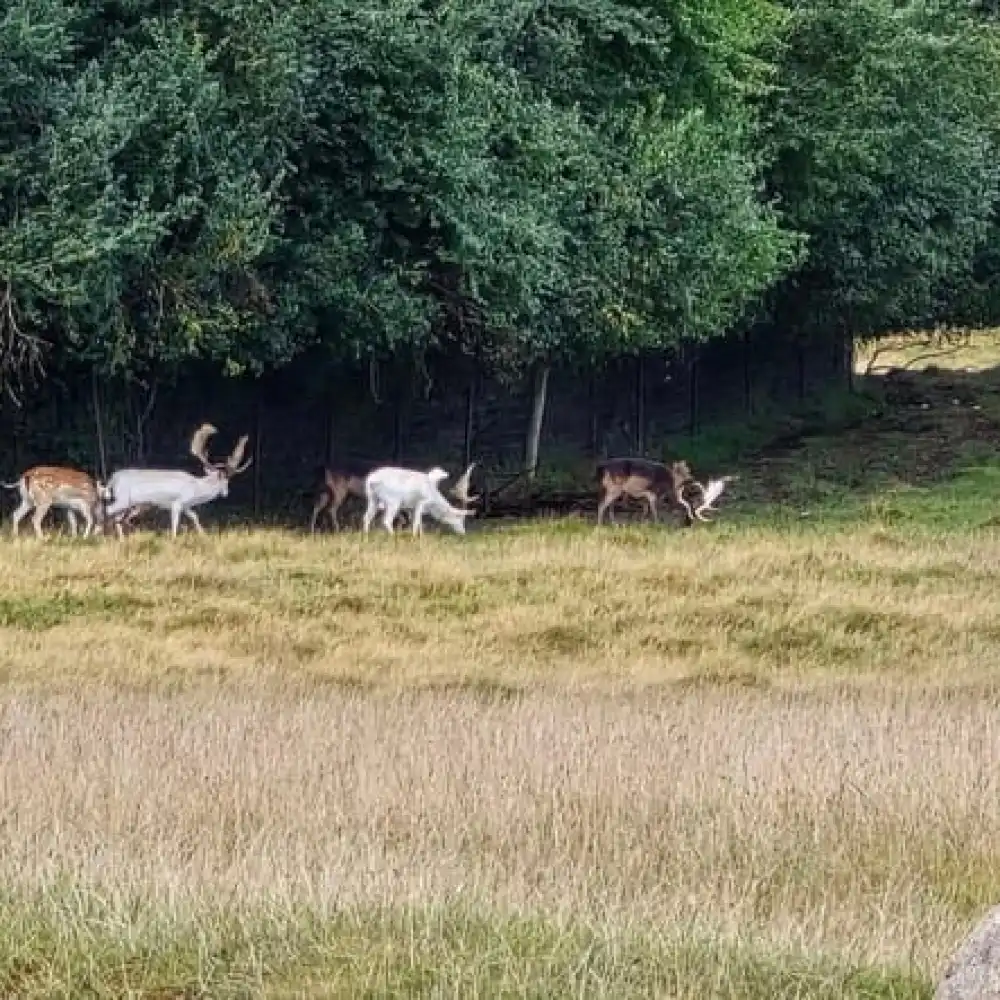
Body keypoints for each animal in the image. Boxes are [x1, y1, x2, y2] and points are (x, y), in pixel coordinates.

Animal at [102, 423, 252, 538]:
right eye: (225, 480)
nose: (226, 493)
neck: (197, 489)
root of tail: (113, 478)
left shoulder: (187, 506)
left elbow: (195, 516)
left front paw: (203, 535)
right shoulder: (177, 503)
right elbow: (175, 524)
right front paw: (173, 539)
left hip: (129, 503)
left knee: (116, 518)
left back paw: (121, 539)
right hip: (123, 499)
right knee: (107, 511)